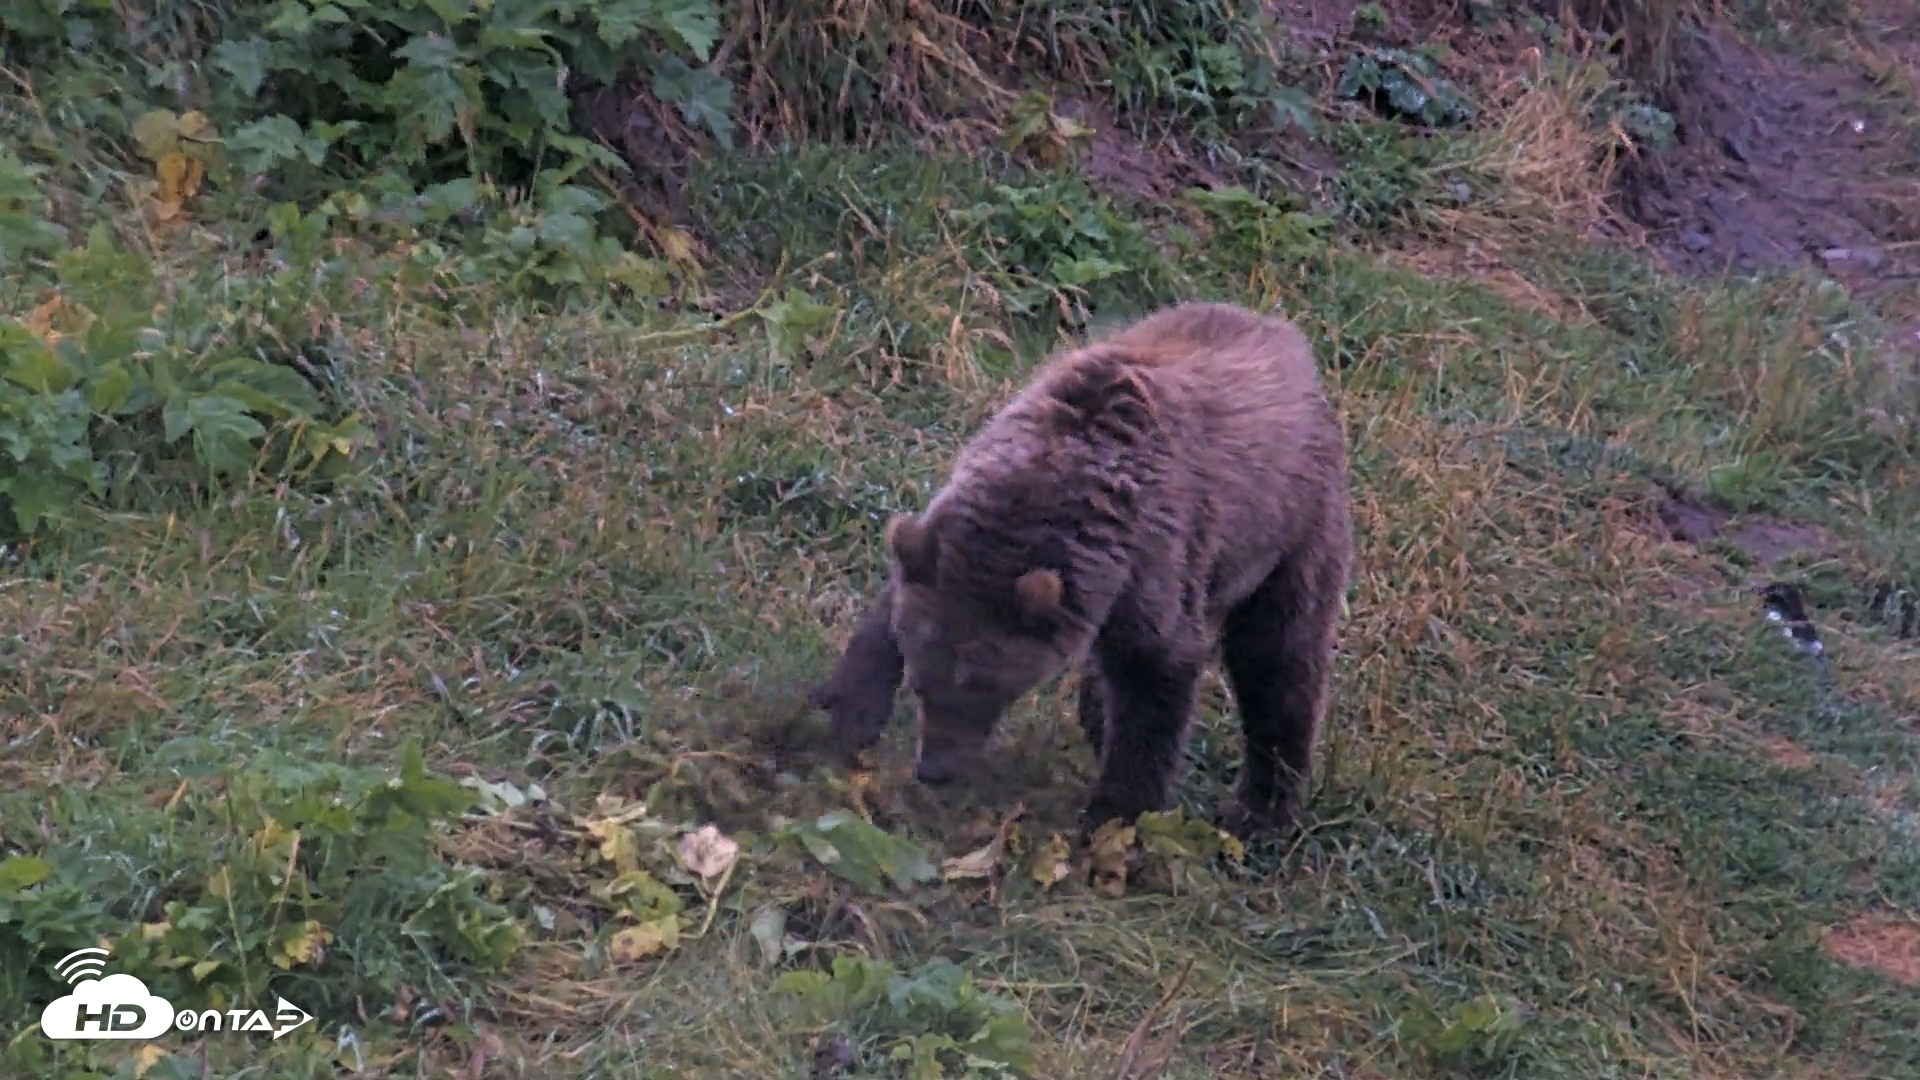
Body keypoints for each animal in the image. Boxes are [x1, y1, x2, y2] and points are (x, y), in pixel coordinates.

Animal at [813, 301, 1352, 837]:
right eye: (922, 682)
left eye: (981, 688)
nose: (935, 769)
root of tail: (1287, 334)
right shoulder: (949, 536)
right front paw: (847, 712)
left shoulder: (1154, 559)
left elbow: (1158, 678)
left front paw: (1113, 812)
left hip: (1292, 526)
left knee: (1280, 655)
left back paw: (1262, 808)